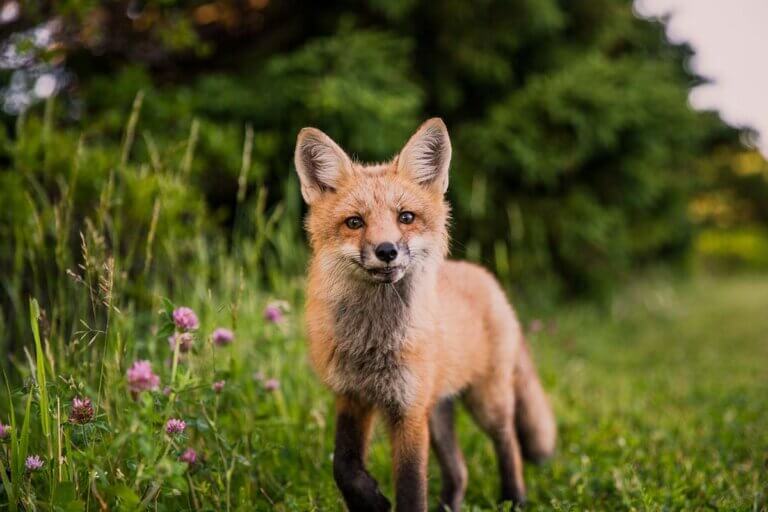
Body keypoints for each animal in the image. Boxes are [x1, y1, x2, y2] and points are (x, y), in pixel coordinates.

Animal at [294, 118, 557, 511]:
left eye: (406, 217)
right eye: (354, 222)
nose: (386, 250)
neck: (374, 344)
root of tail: (486, 278)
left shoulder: (409, 409)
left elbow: (411, 486)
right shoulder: (353, 396)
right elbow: (343, 466)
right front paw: (370, 501)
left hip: (486, 401)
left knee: (508, 442)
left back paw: (515, 498)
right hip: (439, 412)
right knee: (460, 470)